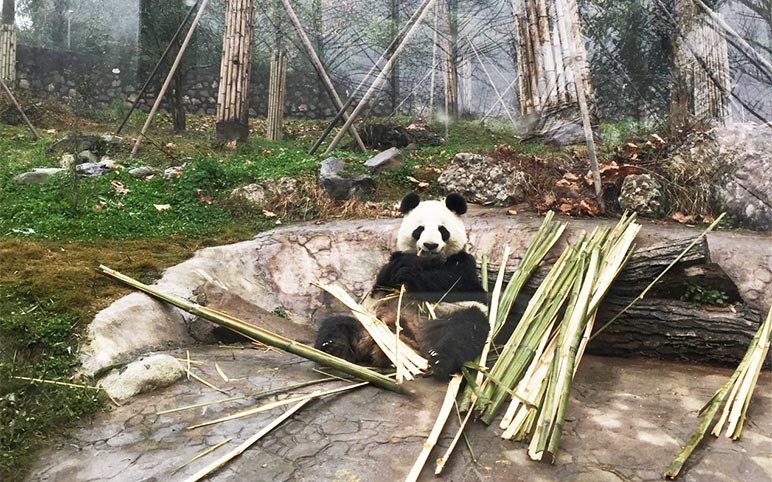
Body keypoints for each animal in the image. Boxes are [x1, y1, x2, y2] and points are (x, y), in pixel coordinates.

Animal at [316, 191, 488, 376]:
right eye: (420, 229)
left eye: (442, 230)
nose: (430, 245)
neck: (427, 261)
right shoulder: (390, 264)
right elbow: (383, 279)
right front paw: (401, 268)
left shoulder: (464, 263)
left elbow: (456, 284)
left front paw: (410, 271)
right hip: (368, 321)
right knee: (338, 324)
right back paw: (332, 347)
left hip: (447, 316)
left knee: (464, 329)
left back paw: (440, 359)